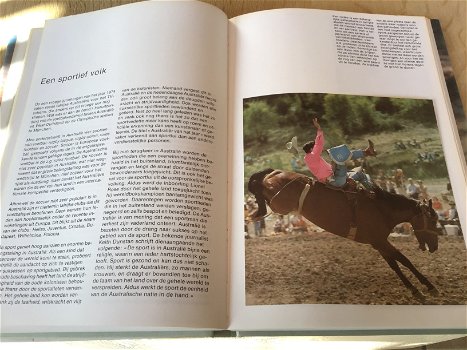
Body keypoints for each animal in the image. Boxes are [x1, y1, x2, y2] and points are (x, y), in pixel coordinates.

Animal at [249, 168, 442, 302]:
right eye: (433, 220)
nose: (435, 247)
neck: (382, 208)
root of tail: (275, 172)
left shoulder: (378, 243)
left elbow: (395, 264)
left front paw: (416, 289)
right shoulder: (381, 241)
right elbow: (404, 260)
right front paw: (428, 286)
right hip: (279, 203)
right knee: (258, 184)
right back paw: (258, 208)